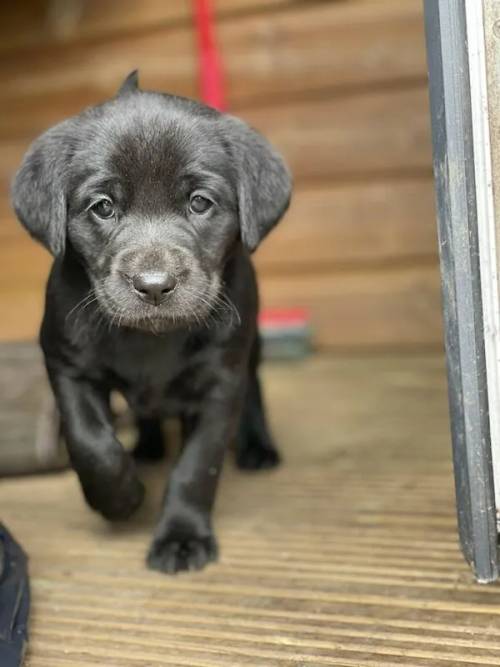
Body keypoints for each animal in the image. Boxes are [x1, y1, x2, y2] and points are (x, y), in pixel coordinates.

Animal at [10, 72, 290, 576]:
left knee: (255, 386)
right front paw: (120, 498)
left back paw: (257, 446)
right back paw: (146, 447)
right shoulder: (66, 364)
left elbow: (197, 466)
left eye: (200, 203)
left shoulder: (220, 382)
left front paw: (182, 537)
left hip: (250, 342)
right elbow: (90, 443)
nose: (154, 285)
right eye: (102, 206)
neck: (151, 340)